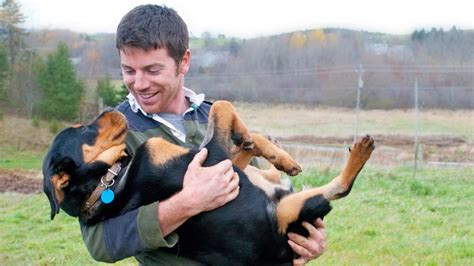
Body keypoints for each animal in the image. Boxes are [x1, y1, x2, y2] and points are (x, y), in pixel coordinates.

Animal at [43, 100, 374, 264]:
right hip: (290, 212)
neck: (109, 180)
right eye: (83, 129)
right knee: (340, 189)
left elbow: (245, 138)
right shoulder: (213, 157)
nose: (110, 109)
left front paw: (279, 155)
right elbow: (222, 107)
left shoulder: (226, 164)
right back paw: (361, 150)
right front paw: (255, 140)